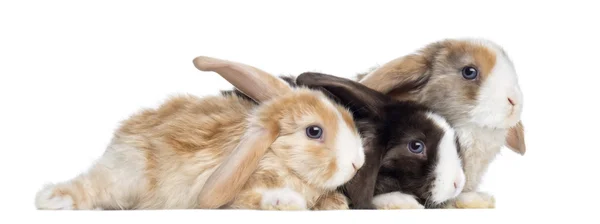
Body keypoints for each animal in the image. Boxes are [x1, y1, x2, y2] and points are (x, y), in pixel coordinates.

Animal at [37, 55, 368, 210]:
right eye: (314, 131)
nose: (357, 163)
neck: (275, 154)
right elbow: (257, 197)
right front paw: (285, 202)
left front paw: (335, 204)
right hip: (127, 175)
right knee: (91, 187)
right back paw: (51, 198)